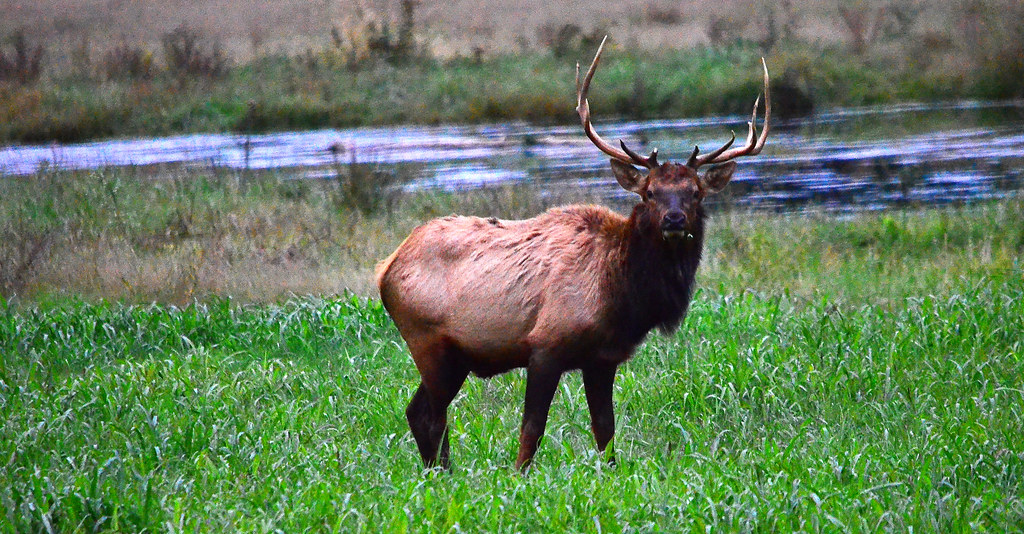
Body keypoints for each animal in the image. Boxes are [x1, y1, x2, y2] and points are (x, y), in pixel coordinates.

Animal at [376, 37, 770, 471]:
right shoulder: (545, 345)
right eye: (650, 192)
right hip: (428, 342)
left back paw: (442, 473)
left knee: (422, 413)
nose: (674, 218)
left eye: (695, 192)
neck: (621, 293)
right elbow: (532, 429)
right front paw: (518, 476)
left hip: (453, 356)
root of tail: (385, 268)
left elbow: (606, 431)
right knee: (430, 414)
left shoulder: (602, 358)